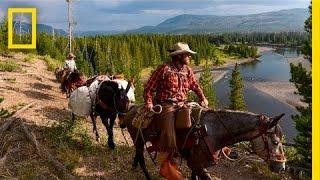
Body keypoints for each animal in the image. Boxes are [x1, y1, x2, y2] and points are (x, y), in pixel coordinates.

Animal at [119, 106, 284, 179]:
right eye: (275, 142)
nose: (282, 167)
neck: (215, 132)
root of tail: (131, 109)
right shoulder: (197, 164)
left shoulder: (196, 164)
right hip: (138, 140)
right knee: (141, 159)